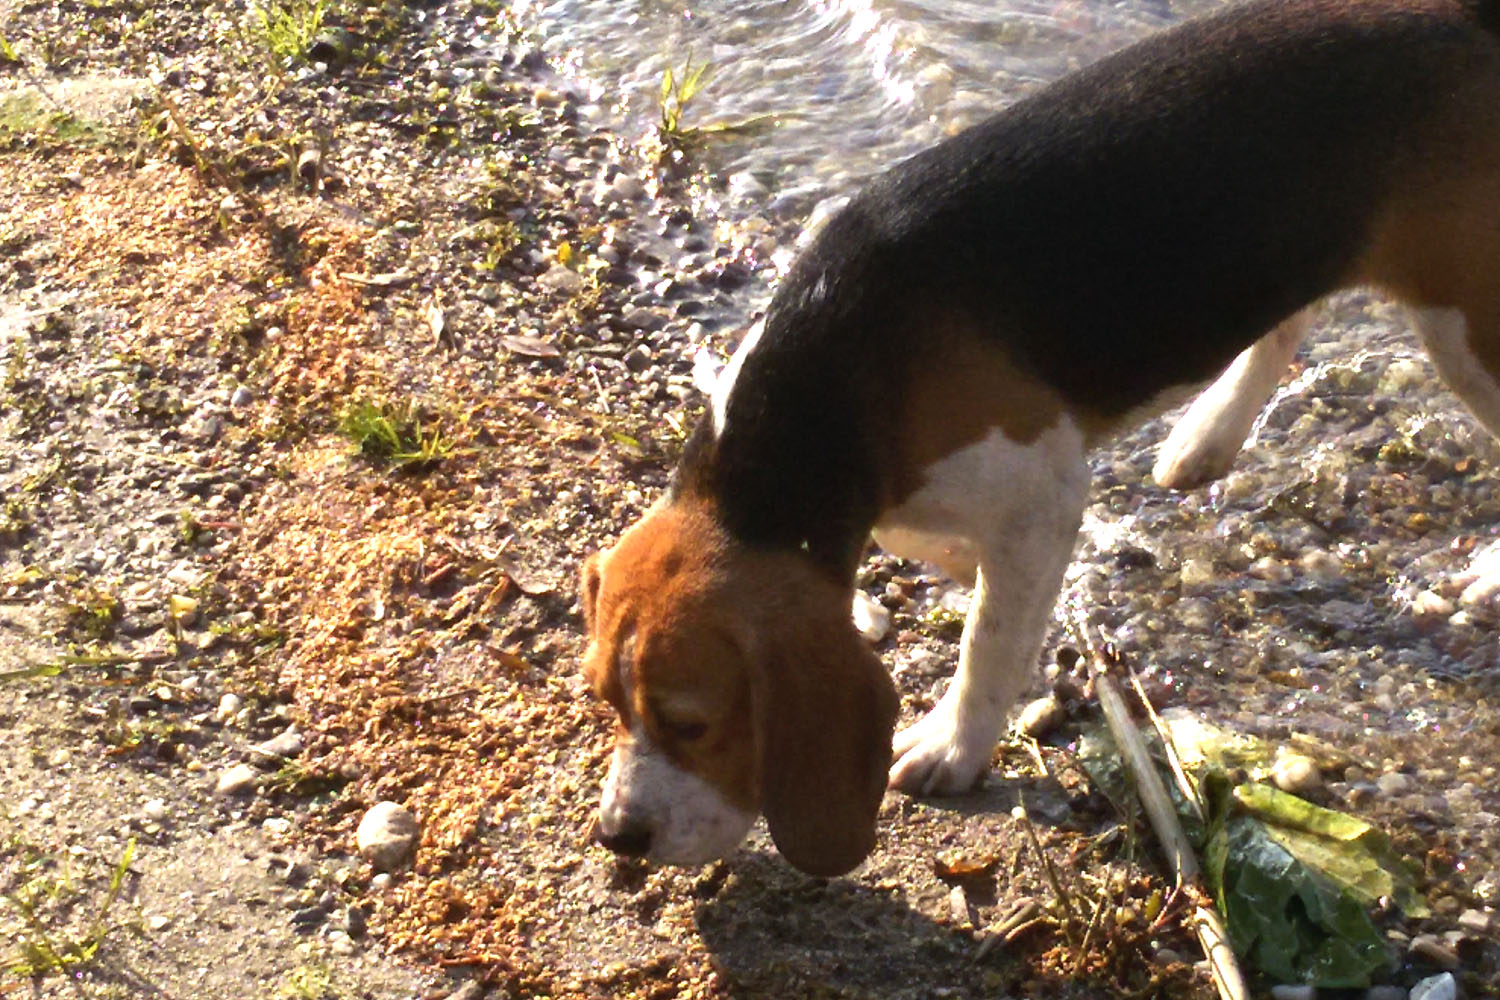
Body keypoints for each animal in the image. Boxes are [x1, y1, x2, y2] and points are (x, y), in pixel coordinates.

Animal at [579, 0, 1500, 875]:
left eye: (690, 723)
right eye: (603, 702)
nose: (619, 837)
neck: (831, 365)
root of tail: (1456, 17)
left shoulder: (1042, 487)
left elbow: (988, 644)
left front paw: (953, 744)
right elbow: (928, 545)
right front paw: (957, 568)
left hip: (1465, 327)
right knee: (1284, 321)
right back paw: (1205, 437)